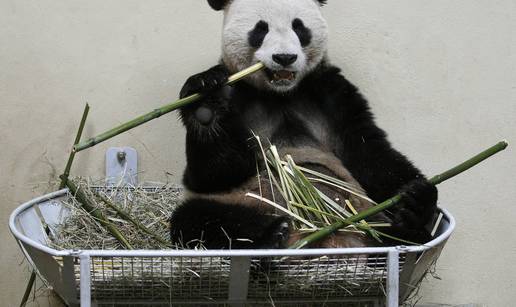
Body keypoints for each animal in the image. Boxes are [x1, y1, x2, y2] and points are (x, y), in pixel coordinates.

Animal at [171, 0, 438, 250]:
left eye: (299, 27)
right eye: (260, 29)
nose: (284, 58)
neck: (281, 94)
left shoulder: (332, 93)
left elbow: (368, 152)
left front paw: (418, 196)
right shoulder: (238, 93)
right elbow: (214, 173)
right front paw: (206, 103)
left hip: (367, 212)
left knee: (392, 228)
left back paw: (406, 225)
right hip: (234, 202)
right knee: (199, 219)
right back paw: (272, 235)